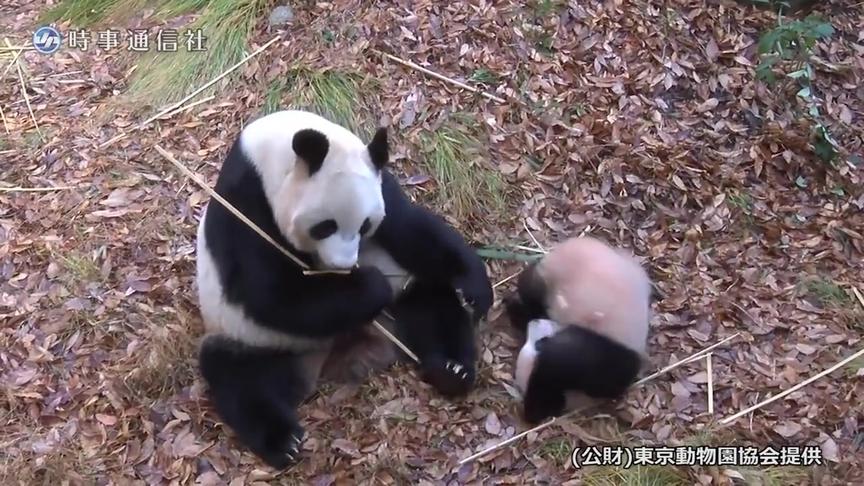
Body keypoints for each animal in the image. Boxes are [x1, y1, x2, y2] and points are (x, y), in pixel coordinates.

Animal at [197, 109, 492, 468]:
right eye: (325, 227)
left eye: (364, 225)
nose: (344, 265)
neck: (270, 153)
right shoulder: (245, 205)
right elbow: (270, 294)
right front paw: (371, 285)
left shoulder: (380, 184)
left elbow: (411, 229)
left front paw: (475, 289)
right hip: (256, 339)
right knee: (238, 376)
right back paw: (284, 440)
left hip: (406, 293)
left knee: (434, 304)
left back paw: (452, 369)